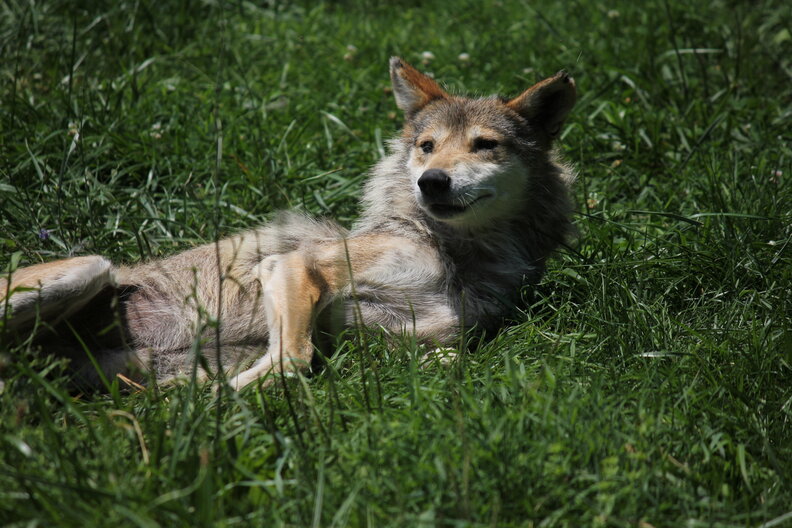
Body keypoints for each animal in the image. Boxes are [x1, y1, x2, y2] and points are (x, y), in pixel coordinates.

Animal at [0, 57, 576, 391]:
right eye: (427, 146)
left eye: (485, 144)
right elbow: (294, 357)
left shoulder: (425, 342)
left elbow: (449, 361)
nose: (430, 182)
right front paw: (225, 401)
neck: (457, 253)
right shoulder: (291, 266)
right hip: (88, 269)